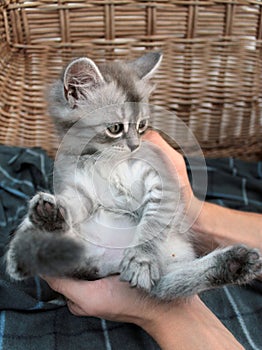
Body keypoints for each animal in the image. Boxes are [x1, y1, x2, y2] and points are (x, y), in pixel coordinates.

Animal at [5, 52, 260, 300]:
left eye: (142, 126)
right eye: (115, 128)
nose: (135, 146)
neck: (107, 161)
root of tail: (105, 260)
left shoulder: (163, 181)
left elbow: (151, 226)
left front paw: (141, 261)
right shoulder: (83, 189)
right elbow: (72, 204)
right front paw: (55, 210)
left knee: (168, 285)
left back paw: (237, 264)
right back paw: (34, 239)